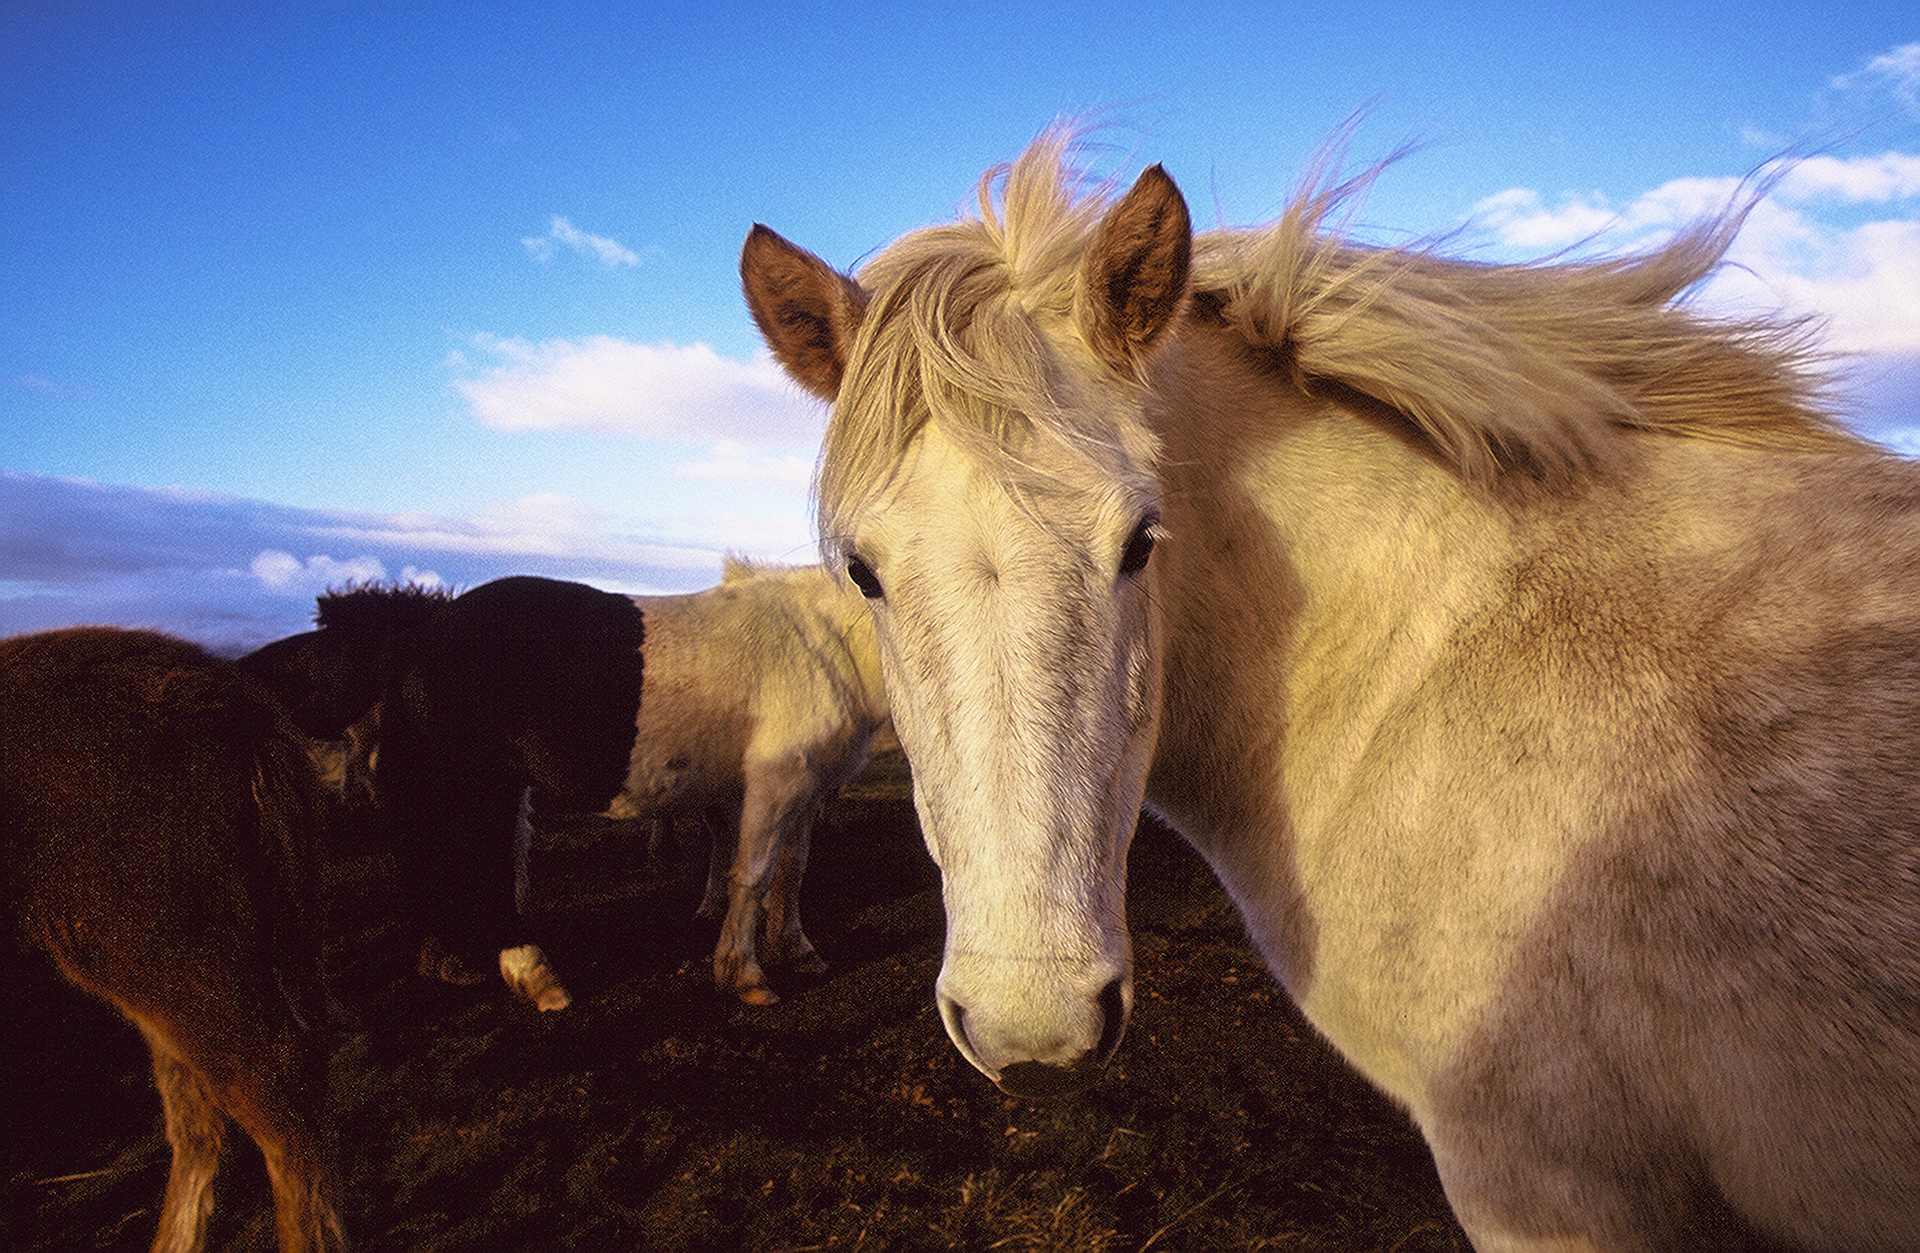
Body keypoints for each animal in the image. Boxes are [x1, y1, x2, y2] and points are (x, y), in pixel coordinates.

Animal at [607, 556, 890, 1004]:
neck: (827, 644)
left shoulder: (808, 789)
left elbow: (792, 867)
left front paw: (795, 948)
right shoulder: (776, 781)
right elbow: (754, 873)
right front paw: (744, 974)